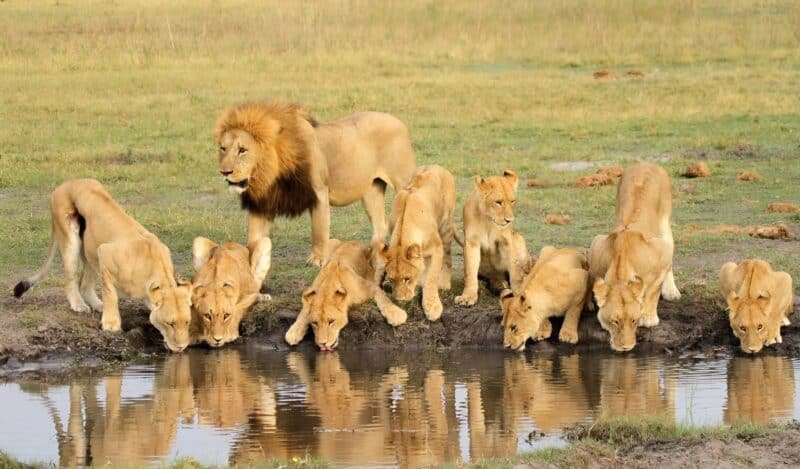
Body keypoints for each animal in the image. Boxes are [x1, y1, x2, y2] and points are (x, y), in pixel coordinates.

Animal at [13, 179, 192, 352]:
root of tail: (64, 184)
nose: (182, 347)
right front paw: (111, 325)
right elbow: (110, 294)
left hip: (90, 251)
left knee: (85, 284)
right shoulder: (105, 253)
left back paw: (98, 305)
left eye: (187, 322)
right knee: (71, 279)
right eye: (170, 323)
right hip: (72, 241)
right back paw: (79, 305)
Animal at [214, 100, 416, 279]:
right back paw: (372, 257)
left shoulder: (319, 193)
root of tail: (398, 121)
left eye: (242, 150)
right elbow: (253, 239)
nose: (224, 172)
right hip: (371, 191)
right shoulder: (263, 202)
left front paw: (317, 260)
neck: (271, 173)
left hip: (403, 185)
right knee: (380, 224)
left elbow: (318, 230)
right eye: (223, 148)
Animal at [373, 165, 457, 321]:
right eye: (392, 280)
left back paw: (444, 284)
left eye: (407, 279)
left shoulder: (437, 248)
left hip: (446, 225)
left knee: (448, 257)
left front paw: (432, 306)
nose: (400, 300)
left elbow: (431, 277)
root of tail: (438, 166)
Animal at [455, 170, 530, 306]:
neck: (488, 220)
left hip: (519, 239)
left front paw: (519, 293)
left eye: (512, 201)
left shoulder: (506, 241)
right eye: (498, 202)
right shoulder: (471, 242)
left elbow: (515, 271)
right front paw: (468, 297)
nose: (509, 220)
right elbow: (470, 272)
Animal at [587, 163, 681, 352]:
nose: (626, 348)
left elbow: (653, 290)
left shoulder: (661, 251)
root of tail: (646, 162)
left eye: (634, 320)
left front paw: (649, 317)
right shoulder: (596, 248)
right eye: (614, 321)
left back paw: (671, 291)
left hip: (664, 223)